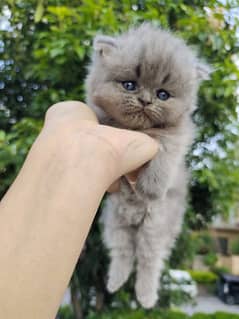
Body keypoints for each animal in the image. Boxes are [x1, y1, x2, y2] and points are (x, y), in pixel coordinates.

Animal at [85, 23, 210, 308]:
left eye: (163, 94)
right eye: (130, 85)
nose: (145, 101)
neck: (139, 130)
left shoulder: (175, 138)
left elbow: (164, 155)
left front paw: (151, 188)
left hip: (154, 227)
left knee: (148, 261)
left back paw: (145, 297)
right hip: (116, 223)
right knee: (123, 252)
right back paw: (115, 282)